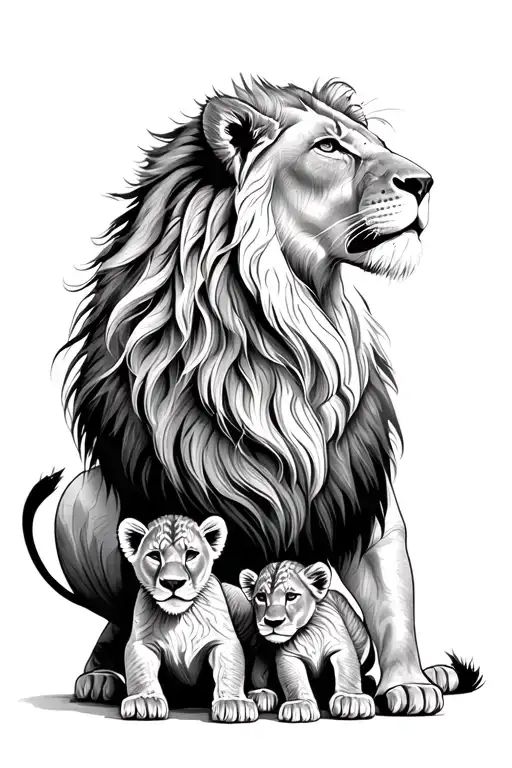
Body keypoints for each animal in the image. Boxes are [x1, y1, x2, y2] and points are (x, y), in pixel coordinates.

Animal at [240, 560, 378, 722]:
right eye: (261, 597)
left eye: (291, 596)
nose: (273, 622)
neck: (307, 632)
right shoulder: (288, 656)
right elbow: (294, 679)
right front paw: (300, 705)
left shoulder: (341, 646)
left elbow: (348, 669)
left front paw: (351, 699)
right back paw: (261, 694)